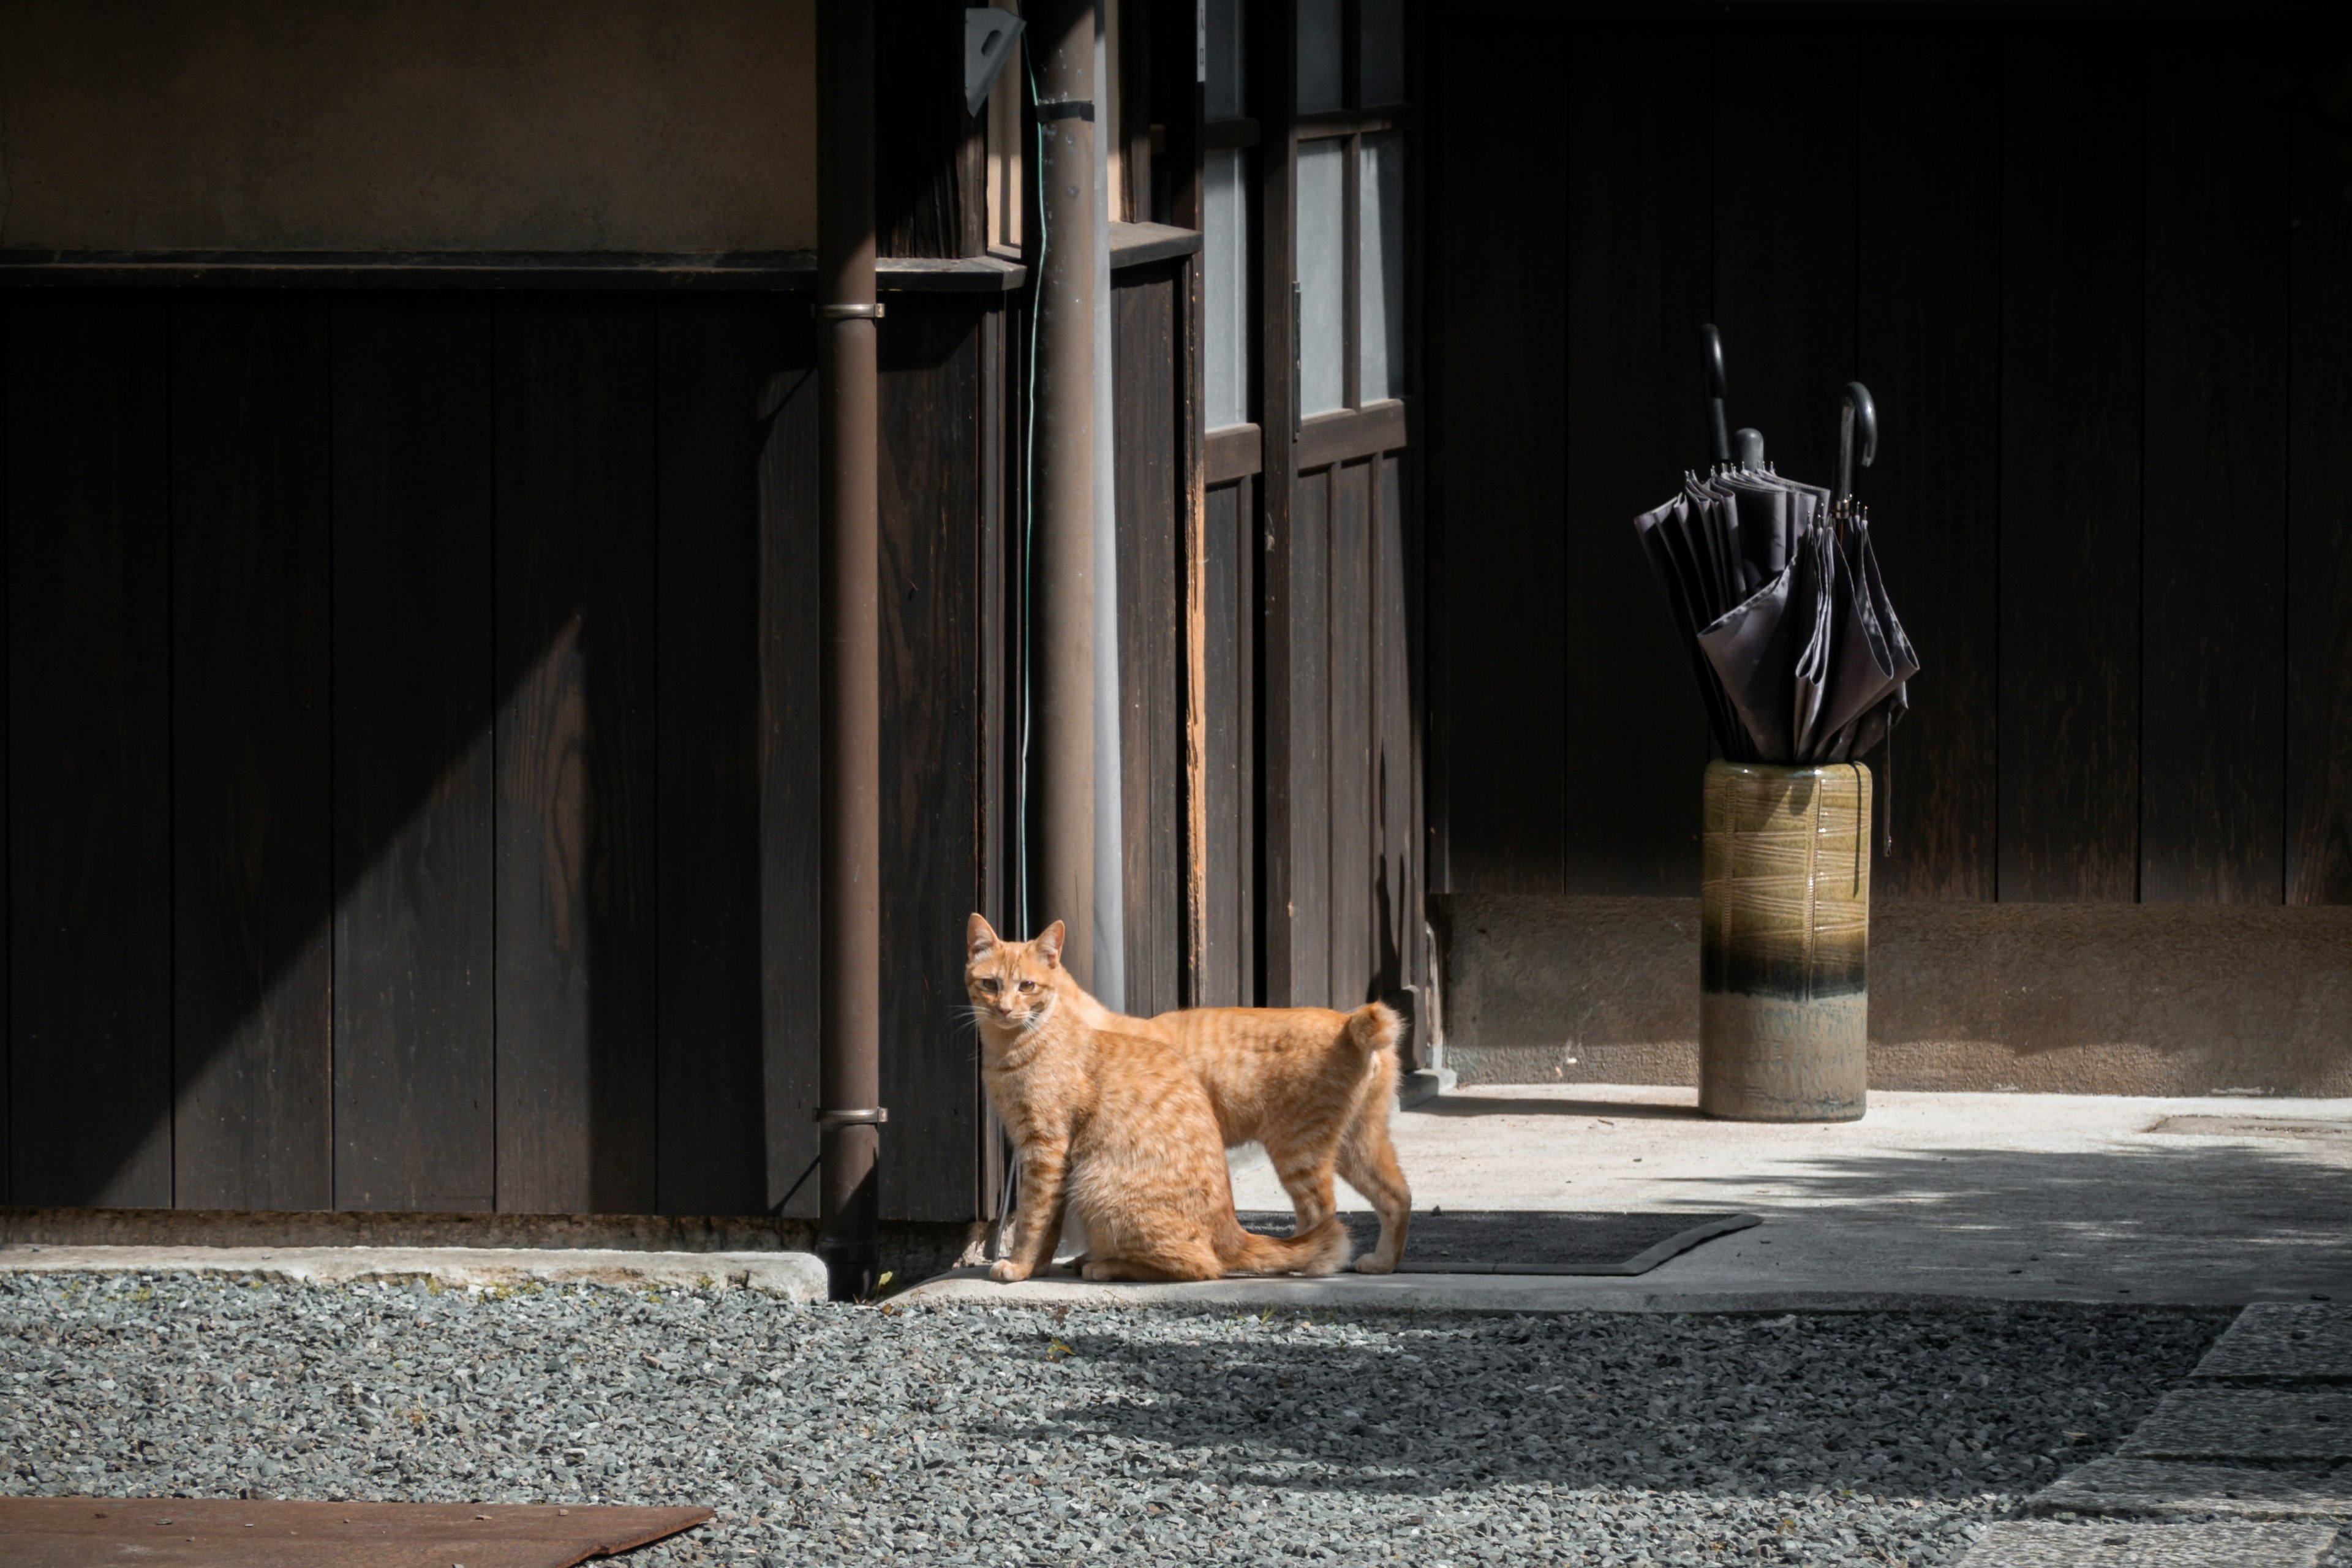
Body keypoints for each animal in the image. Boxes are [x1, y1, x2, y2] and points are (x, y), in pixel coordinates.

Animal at [964, 912, 1354, 1278]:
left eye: (1027, 986)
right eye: (990, 984)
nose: (1004, 1008)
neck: (1011, 1048)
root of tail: (1234, 1232)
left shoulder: (1046, 1148)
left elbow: (1033, 1218)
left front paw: (1018, 1266)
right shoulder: (1039, 1150)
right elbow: (1050, 1224)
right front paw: (1037, 1267)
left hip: (1096, 1185)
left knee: (1201, 1266)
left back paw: (1104, 1265)